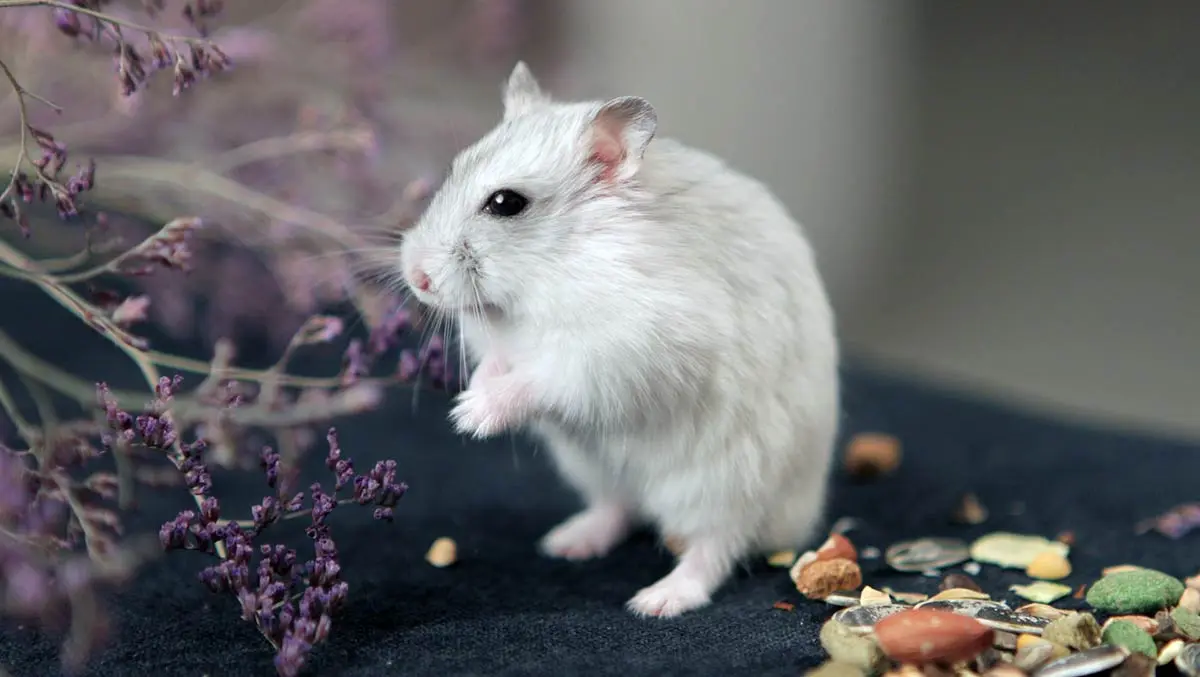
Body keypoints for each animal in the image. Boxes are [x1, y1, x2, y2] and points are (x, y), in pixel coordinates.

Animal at [398, 63, 840, 619]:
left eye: (505, 203)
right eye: (453, 169)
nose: (416, 277)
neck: (541, 276)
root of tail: (798, 519)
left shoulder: (619, 352)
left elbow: (540, 380)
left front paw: (470, 417)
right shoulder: (502, 346)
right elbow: (496, 367)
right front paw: (467, 402)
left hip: (724, 487)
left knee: (715, 548)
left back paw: (656, 601)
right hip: (595, 470)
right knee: (619, 509)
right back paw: (565, 543)